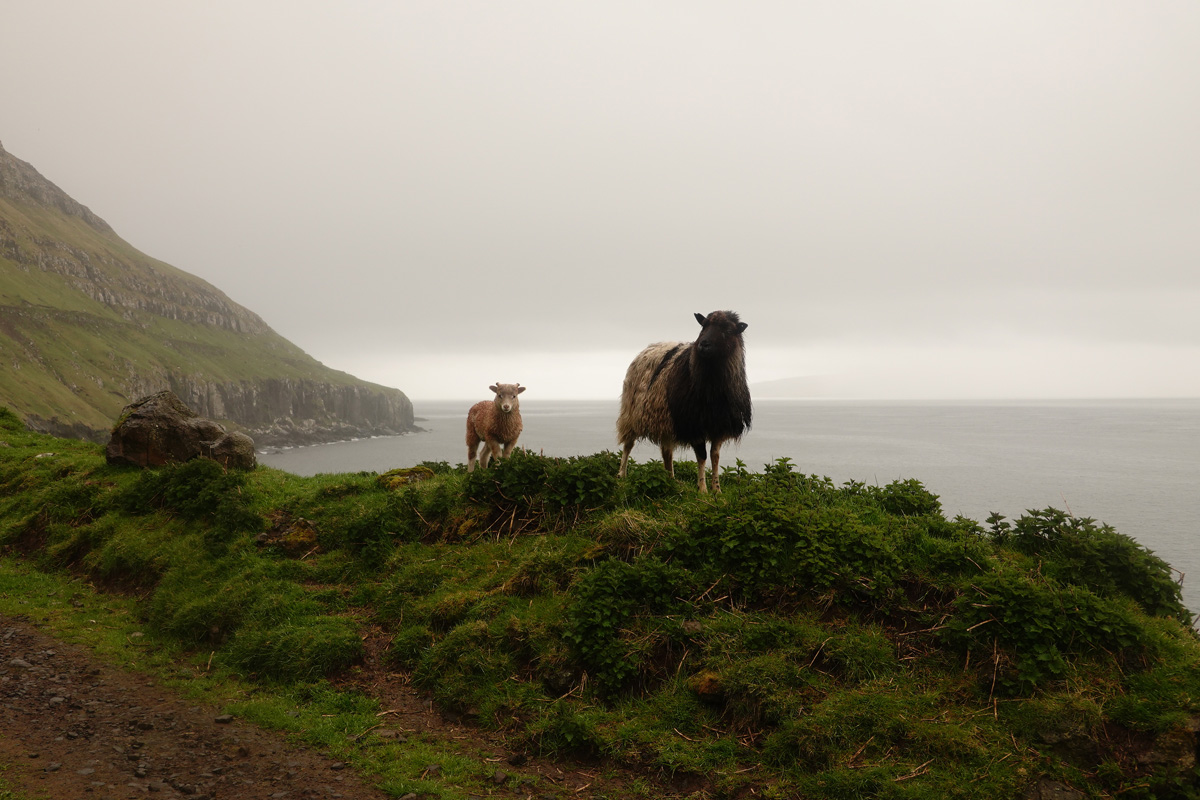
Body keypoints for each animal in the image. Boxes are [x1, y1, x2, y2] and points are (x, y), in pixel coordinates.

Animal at [619, 309, 748, 491]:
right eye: (704, 325)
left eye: (728, 329)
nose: (703, 344)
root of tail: (651, 346)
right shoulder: (694, 424)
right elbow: (702, 456)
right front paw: (703, 490)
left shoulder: (719, 425)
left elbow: (715, 456)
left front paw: (717, 490)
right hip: (631, 413)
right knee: (628, 445)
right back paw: (621, 475)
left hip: (665, 419)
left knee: (667, 451)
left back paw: (671, 479)